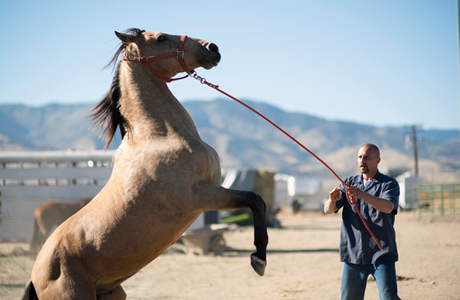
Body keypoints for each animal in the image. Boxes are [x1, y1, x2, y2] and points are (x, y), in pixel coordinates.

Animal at [22, 28, 270, 300]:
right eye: (161, 38)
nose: (212, 48)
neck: (158, 136)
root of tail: (36, 275)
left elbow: (257, 201)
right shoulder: (199, 197)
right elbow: (255, 200)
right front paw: (258, 259)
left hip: (112, 293)